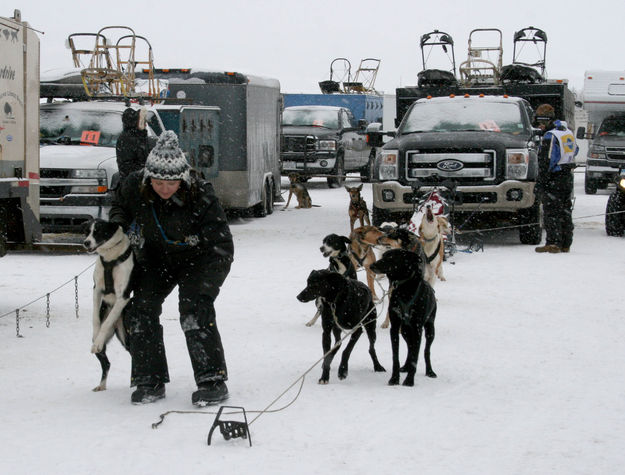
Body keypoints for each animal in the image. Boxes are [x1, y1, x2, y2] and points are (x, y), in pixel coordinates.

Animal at [82, 218, 133, 390]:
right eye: (86, 231)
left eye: (98, 231)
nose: (86, 243)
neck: (110, 257)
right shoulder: (97, 289)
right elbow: (95, 319)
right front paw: (96, 334)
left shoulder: (123, 296)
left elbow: (106, 322)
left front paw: (99, 338)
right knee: (107, 364)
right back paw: (102, 386)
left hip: (126, 336)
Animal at [368, 249, 436, 386]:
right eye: (383, 255)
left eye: (391, 257)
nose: (372, 265)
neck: (404, 289)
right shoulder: (395, 327)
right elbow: (396, 356)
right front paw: (394, 378)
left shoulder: (417, 329)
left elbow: (416, 355)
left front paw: (409, 380)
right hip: (405, 331)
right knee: (410, 347)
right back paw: (405, 367)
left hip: (429, 330)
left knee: (426, 351)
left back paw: (430, 371)